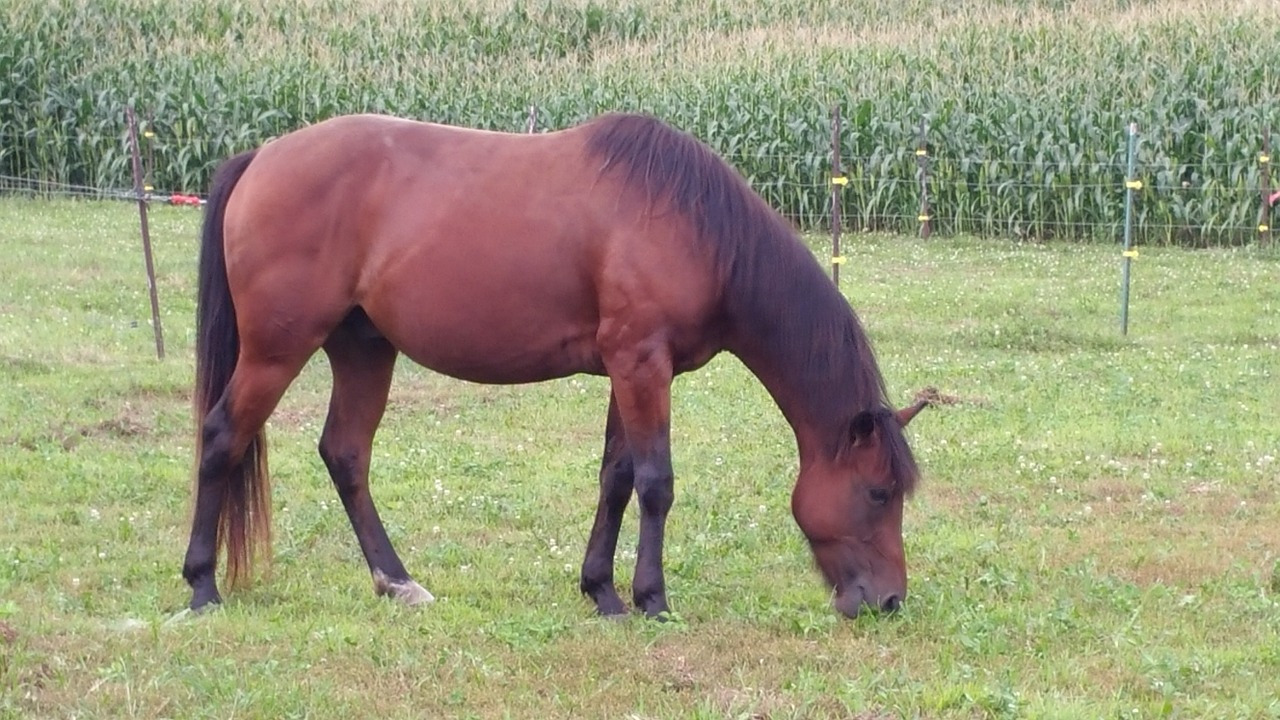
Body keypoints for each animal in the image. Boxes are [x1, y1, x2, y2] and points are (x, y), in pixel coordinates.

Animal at [183, 112, 931, 617]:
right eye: (877, 493)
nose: (890, 601)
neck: (699, 229)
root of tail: (261, 157)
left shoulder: (630, 369)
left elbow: (616, 478)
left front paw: (602, 591)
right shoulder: (641, 363)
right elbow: (656, 483)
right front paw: (652, 599)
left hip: (363, 349)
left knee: (345, 454)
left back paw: (397, 582)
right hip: (277, 350)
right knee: (223, 438)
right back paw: (202, 586)